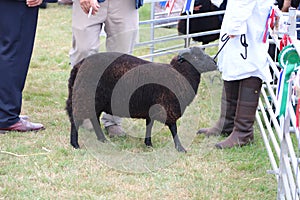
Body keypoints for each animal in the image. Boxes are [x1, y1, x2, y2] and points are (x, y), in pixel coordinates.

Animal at [65, 47, 217, 152]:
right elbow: (174, 129)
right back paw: (75, 144)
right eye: (196, 57)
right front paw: (180, 148)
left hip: (93, 99)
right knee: (76, 119)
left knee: (93, 118)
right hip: (84, 96)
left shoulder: (152, 107)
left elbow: (149, 125)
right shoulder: (169, 106)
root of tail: (79, 65)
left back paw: (102, 139)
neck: (180, 74)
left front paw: (148, 144)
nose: (215, 62)